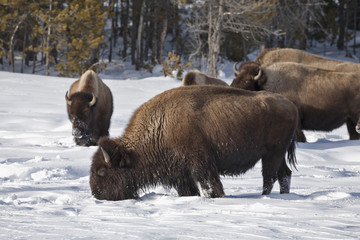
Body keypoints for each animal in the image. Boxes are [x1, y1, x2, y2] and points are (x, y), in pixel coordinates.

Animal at [88, 85, 296, 202]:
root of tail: (290, 104)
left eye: (102, 171)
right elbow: (190, 190)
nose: (97, 194)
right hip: (277, 155)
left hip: (273, 154)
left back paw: (265, 197)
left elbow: (211, 186)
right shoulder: (180, 174)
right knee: (284, 174)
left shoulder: (202, 164)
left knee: (269, 177)